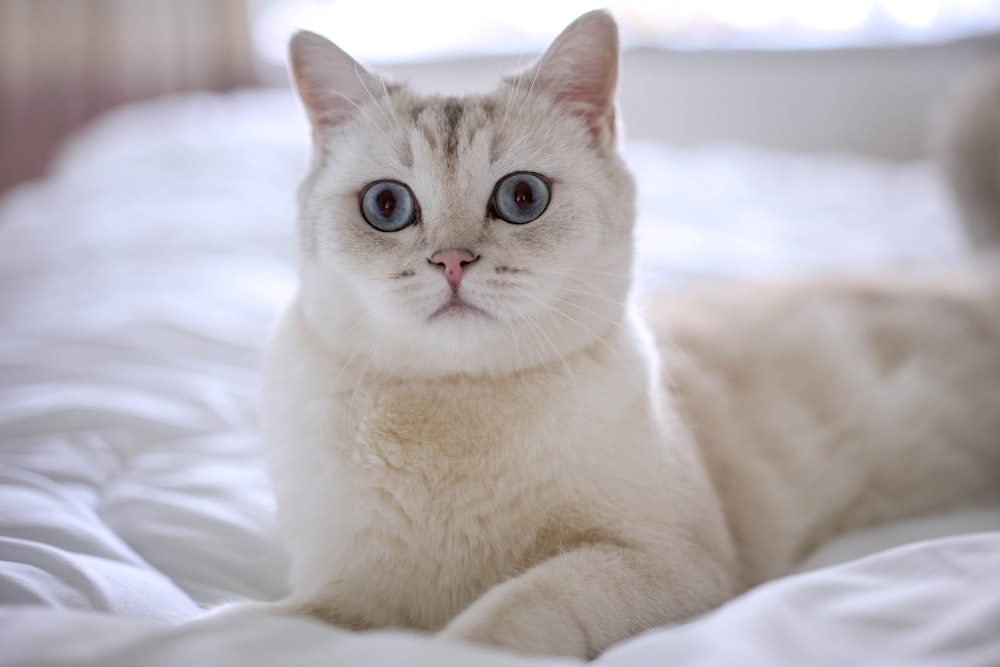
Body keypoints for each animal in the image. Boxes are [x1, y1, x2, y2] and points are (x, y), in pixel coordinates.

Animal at [242, 7, 1000, 660]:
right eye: (386, 206)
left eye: (522, 198)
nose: (452, 262)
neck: (455, 412)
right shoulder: (349, 591)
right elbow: (271, 623)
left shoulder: (673, 563)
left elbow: (513, 608)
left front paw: (453, 645)